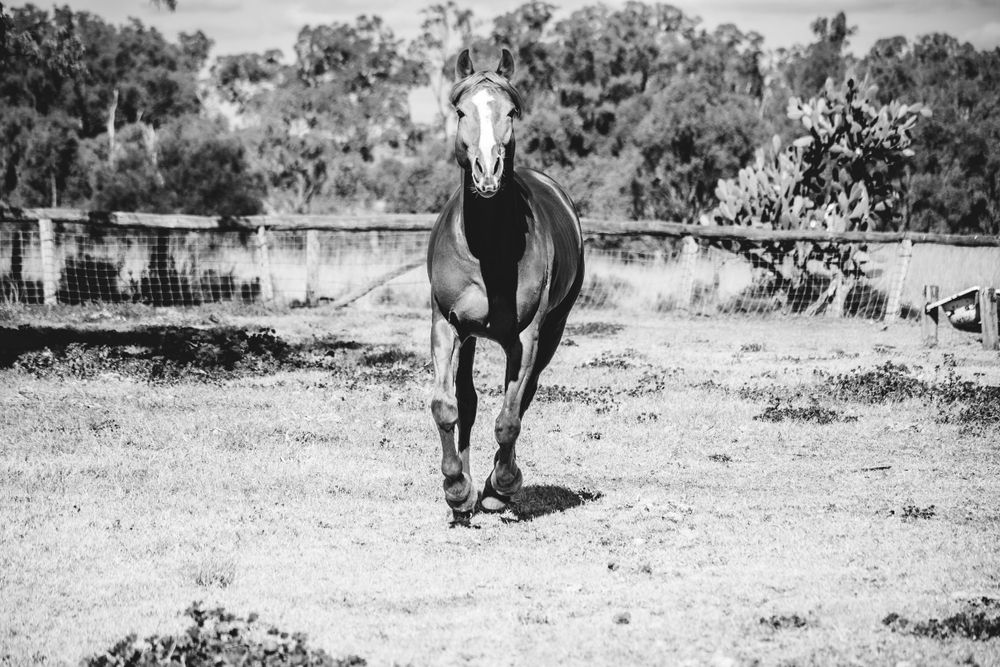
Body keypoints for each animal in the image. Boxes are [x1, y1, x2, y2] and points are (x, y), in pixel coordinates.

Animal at [426, 48, 585, 518]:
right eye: (461, 112)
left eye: (511, 111)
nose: (488, 172)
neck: (488, 248)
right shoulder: (445, 325)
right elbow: (447, 406)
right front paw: (456, 488)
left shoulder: (526, 337)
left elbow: (510, 417)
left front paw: (501, 486)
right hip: (470, 336)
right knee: (468, 401)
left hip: (552, 331)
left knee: (523, 397)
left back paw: (497, 487)